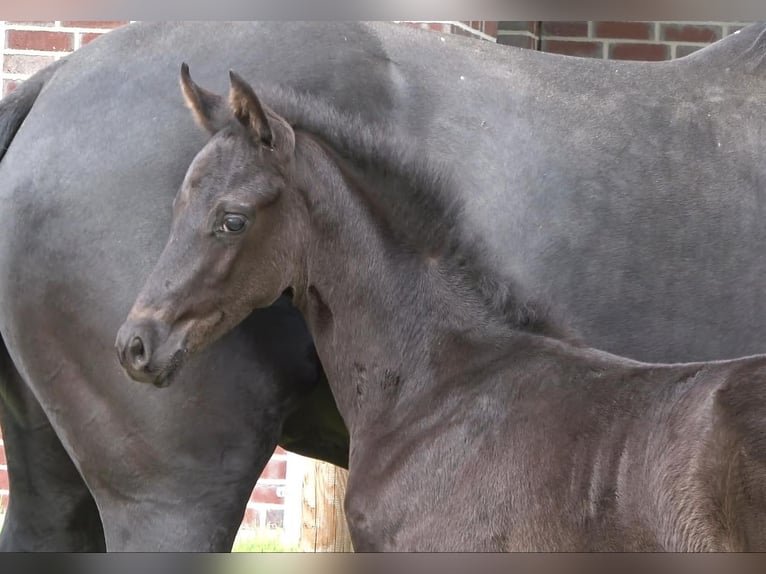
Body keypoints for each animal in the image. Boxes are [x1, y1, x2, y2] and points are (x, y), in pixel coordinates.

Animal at [4, 21, 766, 550]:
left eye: (231, 218)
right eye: (176, 205)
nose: (137, 343)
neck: (451, 378)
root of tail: (51, 82)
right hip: (173, 496)